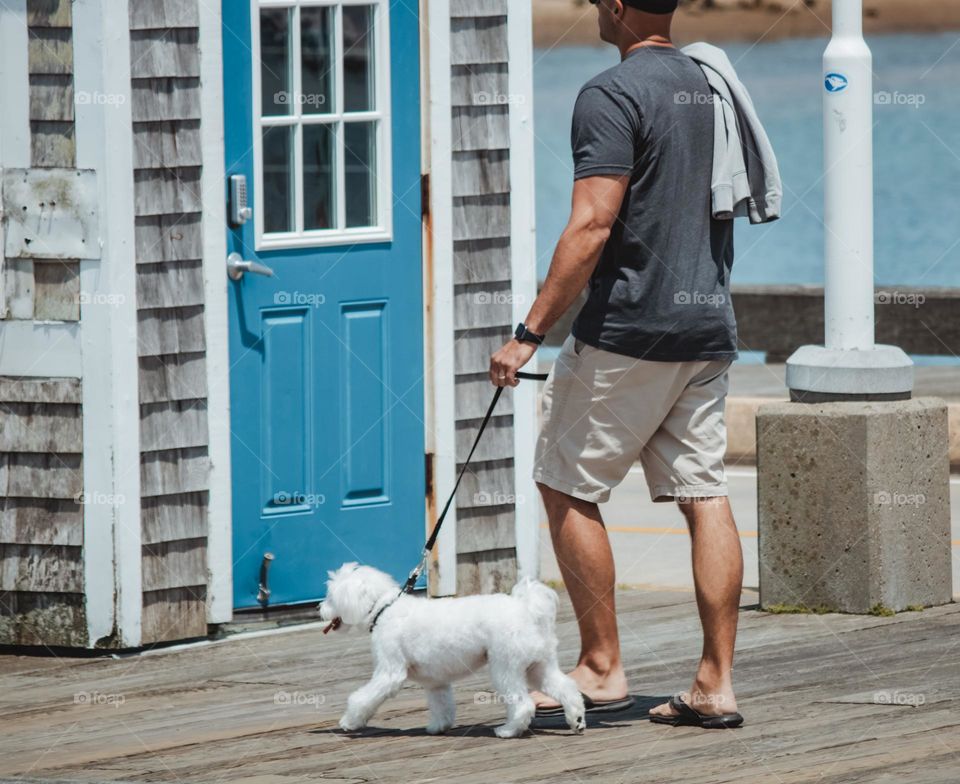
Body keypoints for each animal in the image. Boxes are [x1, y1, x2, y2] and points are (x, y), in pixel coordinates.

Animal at [320, 564, 584, 736]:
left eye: (331, 597)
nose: (319, 608)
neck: (384, 608)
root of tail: (527, 608)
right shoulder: (436, 681)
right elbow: (442, 705)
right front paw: (438, 727)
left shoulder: (389, 673)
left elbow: (362, 698)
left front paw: (350, 721)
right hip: (538, 666)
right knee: (567, 688)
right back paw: (577, 720)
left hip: (506, 668)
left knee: (523, 704)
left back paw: (508, 730)